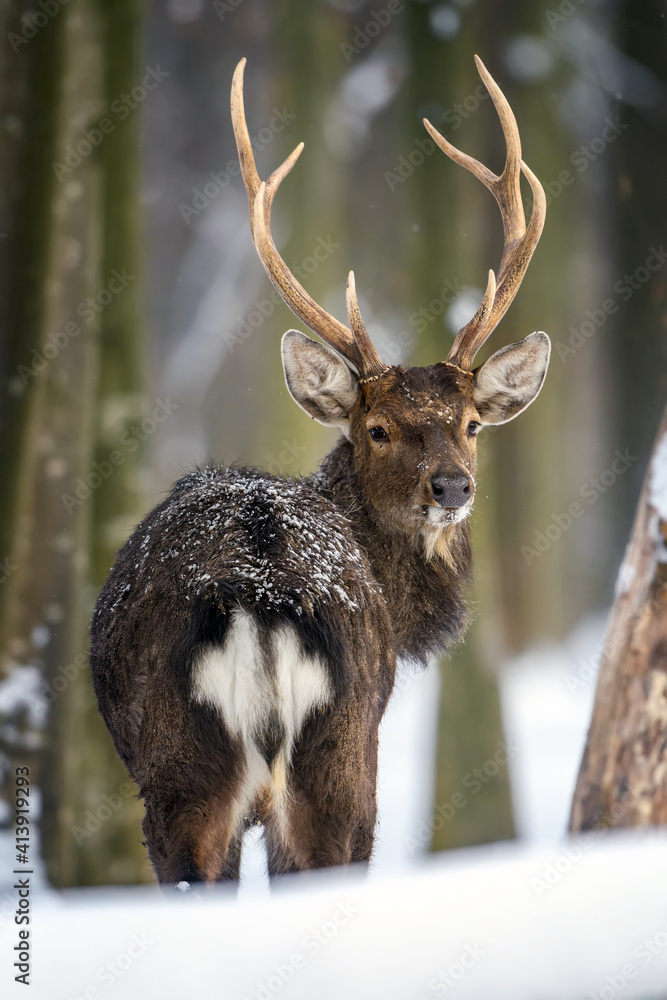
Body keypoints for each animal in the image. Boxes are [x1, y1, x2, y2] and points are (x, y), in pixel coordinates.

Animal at [90, 56, 548, 884]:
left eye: (470, 425)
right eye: (377, 429)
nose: (452, 486)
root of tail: (261, 596)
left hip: (208, 774)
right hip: (337, 754)